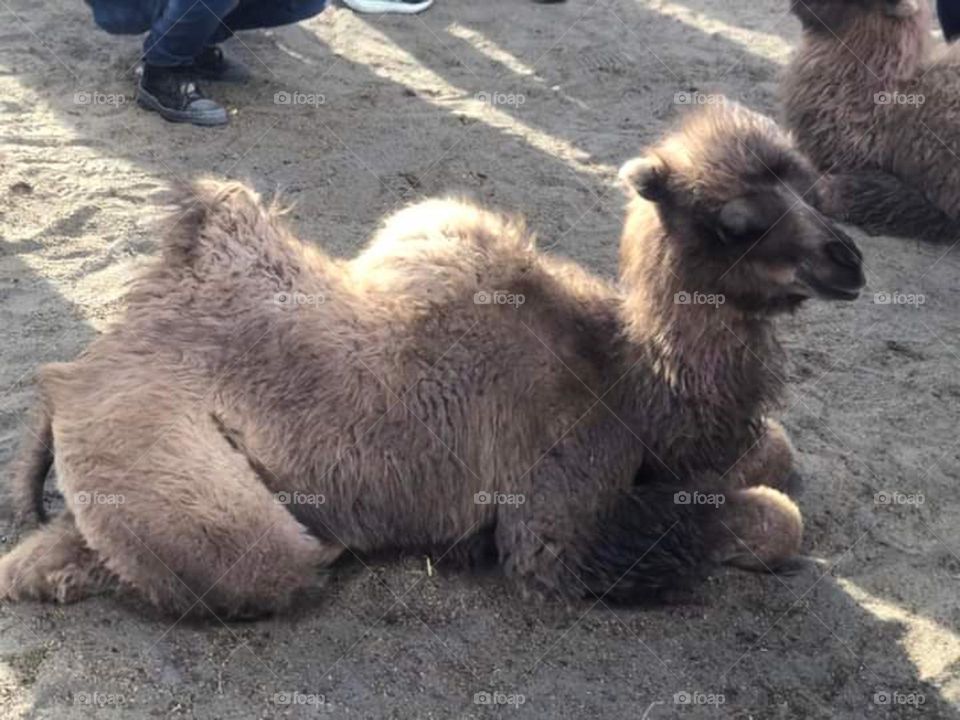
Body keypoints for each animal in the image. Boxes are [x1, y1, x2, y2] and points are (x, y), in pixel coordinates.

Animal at [0, 102, 864, 617]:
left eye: (813, 185)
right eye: (737, 219)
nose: (849, 261)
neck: (629, 380)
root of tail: (75, 377)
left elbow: (778, 452)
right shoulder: (556, 524)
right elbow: (772, 519)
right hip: (180, 482)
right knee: (251, 562)